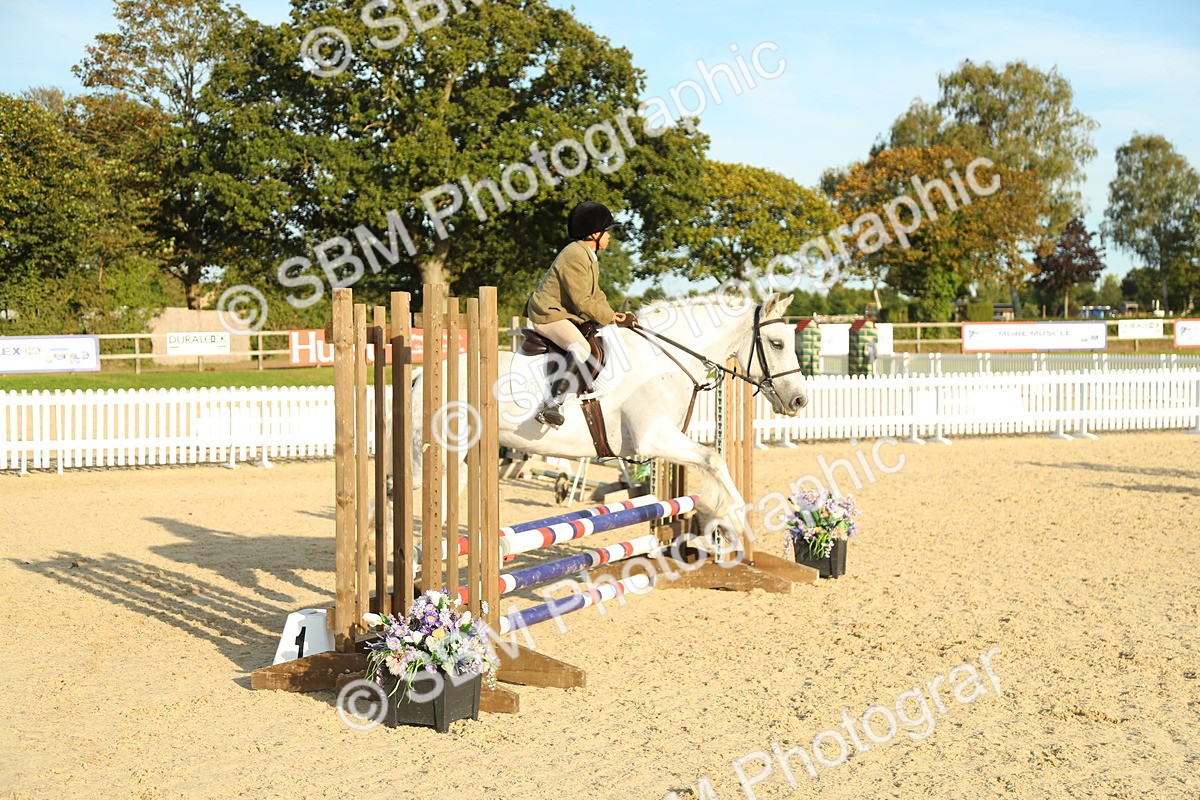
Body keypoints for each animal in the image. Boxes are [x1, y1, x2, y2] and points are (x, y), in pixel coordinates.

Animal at [410, 291, 807, 541]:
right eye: (777, 343)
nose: (800, 400)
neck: (662, 360)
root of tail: (420, 377)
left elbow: (710, 462)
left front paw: (715, 518)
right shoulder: (655, 438)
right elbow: (714, 459)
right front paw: (732, 518)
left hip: (462, 456)